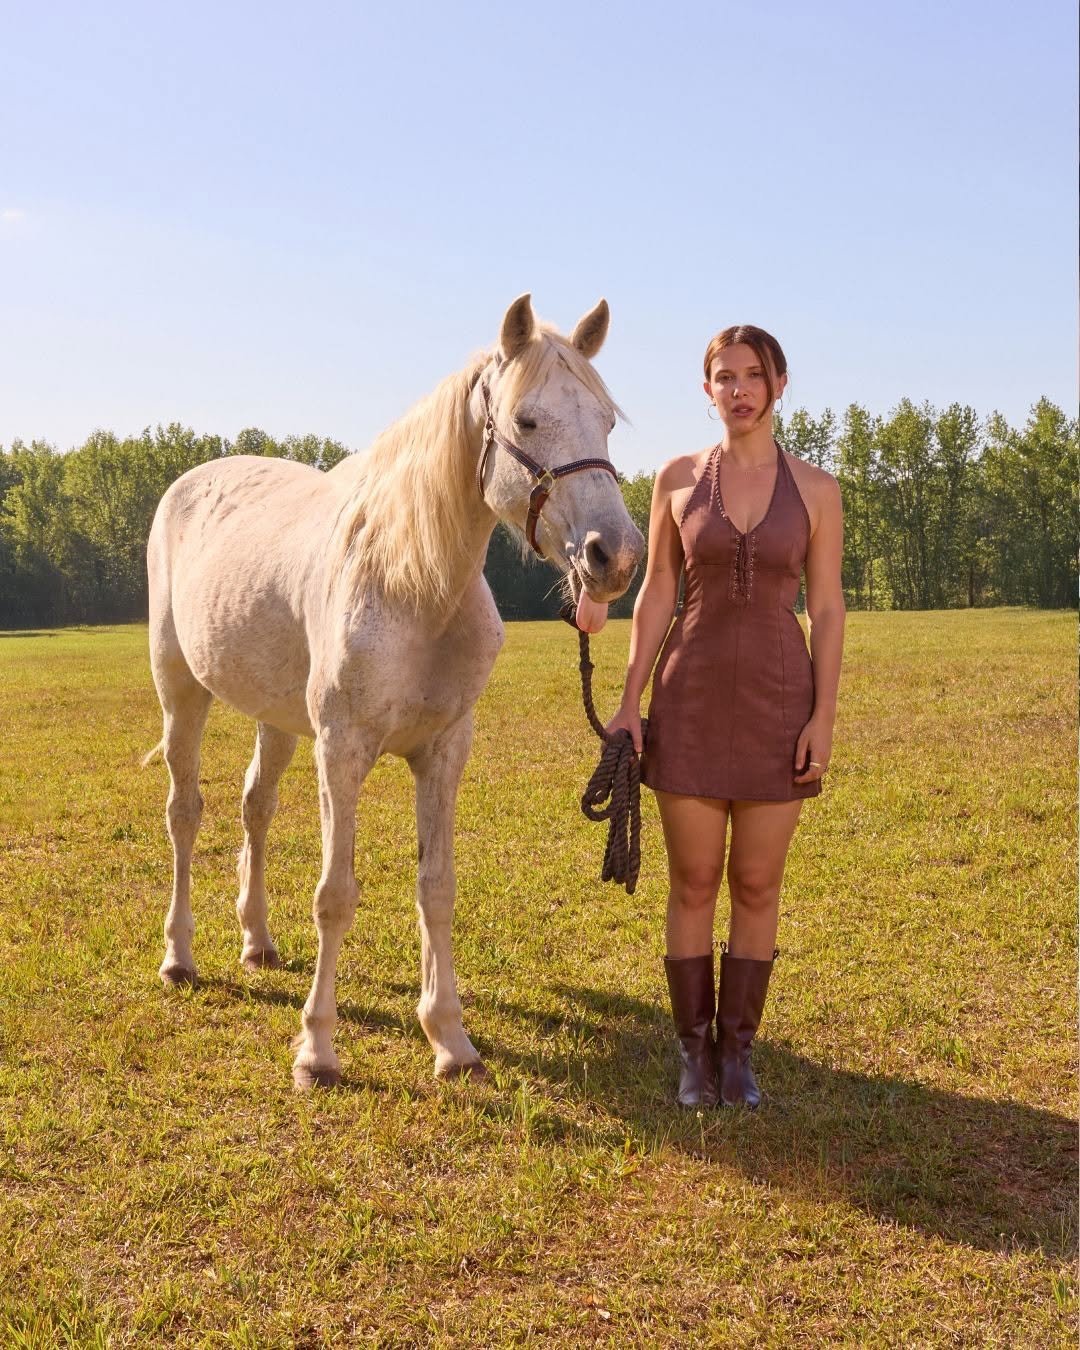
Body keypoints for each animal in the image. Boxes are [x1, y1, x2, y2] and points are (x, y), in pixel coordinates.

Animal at [145, 294, 645, 1087]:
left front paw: (450, 1039)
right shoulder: (342, 750)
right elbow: (334, 897)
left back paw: (257, 941)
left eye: (606, 420)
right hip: (181, 693)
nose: (614, 556)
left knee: (255, 805)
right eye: (528, 420)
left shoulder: (443, 751)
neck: (413, 585)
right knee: (185, 813)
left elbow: (436, 888)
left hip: (277, 718)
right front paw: (317, 1050)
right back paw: (179, 956)